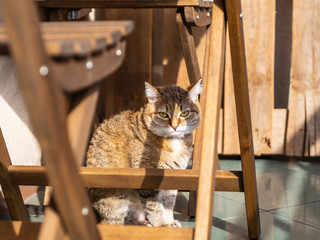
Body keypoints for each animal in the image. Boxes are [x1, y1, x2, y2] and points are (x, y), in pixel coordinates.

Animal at [86, 79, 201, 227]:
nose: (175, 126)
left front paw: (169, 221)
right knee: (114, 222)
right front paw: (161, 224)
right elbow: (155, 206)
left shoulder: (172, 176)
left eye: (185, 113)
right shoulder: (149, 179)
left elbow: (168, 203)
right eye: (163, 114)